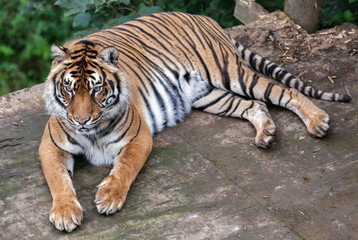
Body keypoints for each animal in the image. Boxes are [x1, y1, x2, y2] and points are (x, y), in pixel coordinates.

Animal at [37, 11, 352, 232]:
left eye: (97, 89)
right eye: (68, 89)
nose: (81, 120)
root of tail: (202, 17)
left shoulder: (139, 137)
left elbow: (125, 167)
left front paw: (109, 197)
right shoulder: (51, 146)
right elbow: (58, 179)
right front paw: (65, 213)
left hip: (230, 72)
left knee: (284, 91)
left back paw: (318, 122)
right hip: (208, 95)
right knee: (255, 104)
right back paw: (266, 134)